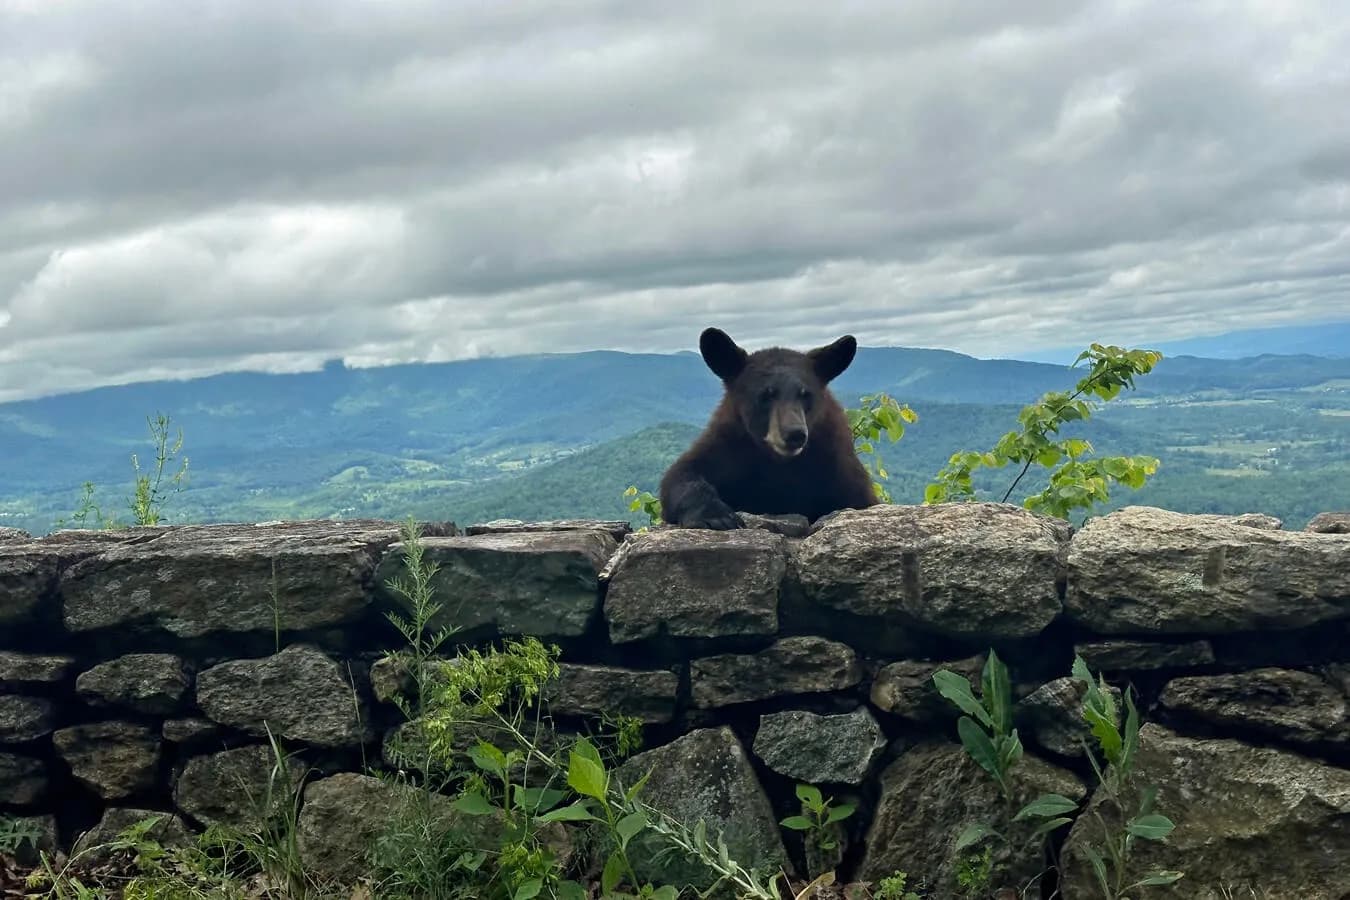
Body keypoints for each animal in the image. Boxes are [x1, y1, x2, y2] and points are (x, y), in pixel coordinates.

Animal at [659, 327, 879, 529]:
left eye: (805, 394)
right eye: (766, 395)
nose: (795, 433)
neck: (778, 462)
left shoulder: (834, 460)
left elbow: (858, 498)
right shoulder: (728, 445)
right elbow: (681, 473)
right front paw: (716, 516)